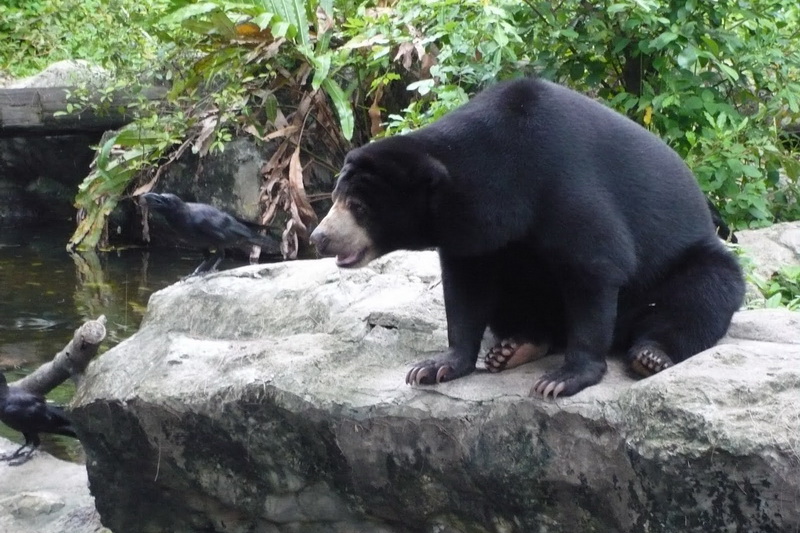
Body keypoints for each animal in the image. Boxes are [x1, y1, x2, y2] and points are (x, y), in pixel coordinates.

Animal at [310, 77, 748, 396]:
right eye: (335, 198)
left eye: (359, 207)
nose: (319, 238)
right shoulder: (475, 233)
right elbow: (466, 288)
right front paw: (433, 366)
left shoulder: (563, 180)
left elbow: (597, 264)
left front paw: (562, 380)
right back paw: (516, 347)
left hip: (693, 261)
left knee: (705, 291)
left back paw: (650, 356)